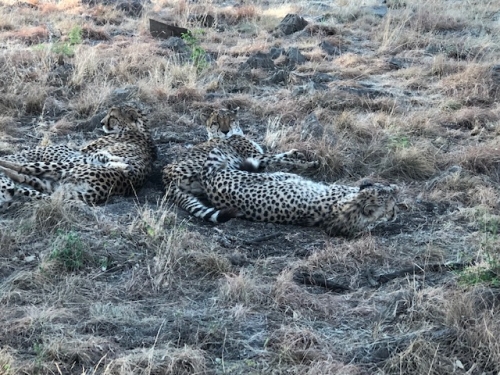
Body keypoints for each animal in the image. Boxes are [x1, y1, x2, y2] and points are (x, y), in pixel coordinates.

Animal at [0, 105, 156, 212]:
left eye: (112, 117)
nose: (101, 123)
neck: (139, 129)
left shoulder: (80, 153)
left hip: (67, 166)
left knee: (24, 168)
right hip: (54, 184)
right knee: (26, 178)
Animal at [162, 107, 318, 223]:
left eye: (230, 120)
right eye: (216, 122)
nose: (225, 131)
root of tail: (164, 176)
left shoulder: (259, 155)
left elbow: (281, 155)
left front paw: (297, 153)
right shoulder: (256, 157)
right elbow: (281, 159)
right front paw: (309, 164)